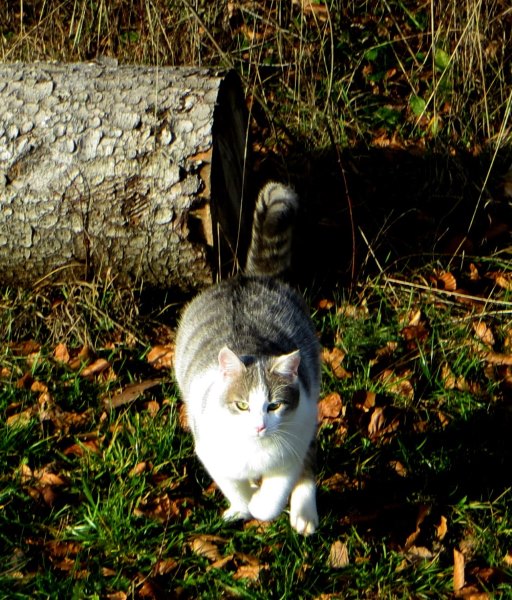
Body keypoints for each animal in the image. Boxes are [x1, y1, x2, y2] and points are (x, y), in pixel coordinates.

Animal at [176, 182, 320, 536]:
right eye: (242, 405)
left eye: (274, 405)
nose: (259, 426)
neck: (255, 451)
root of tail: (246, 279)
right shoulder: (210, 453)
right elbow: (235, 488)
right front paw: (242, 505)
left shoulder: (291, 449)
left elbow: (271, 499)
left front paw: (261, 504)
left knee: (308, 465)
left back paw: (304, 513)